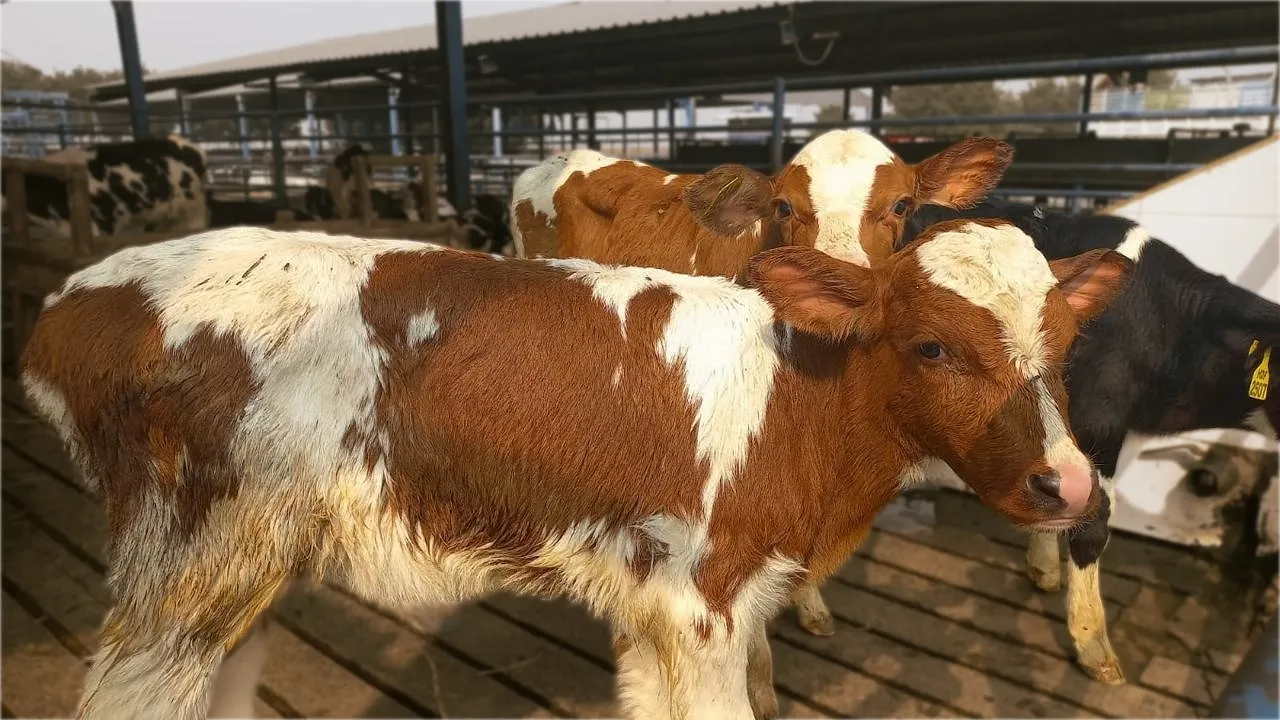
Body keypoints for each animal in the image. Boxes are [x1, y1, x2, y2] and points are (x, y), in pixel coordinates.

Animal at [21, 220, 1130, 720]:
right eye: (932, 346)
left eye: (1068, 344)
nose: (1070, 487)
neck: (799, 407)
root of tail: (81, 294)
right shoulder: (703, 603)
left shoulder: (658, 601)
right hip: (196, 557)